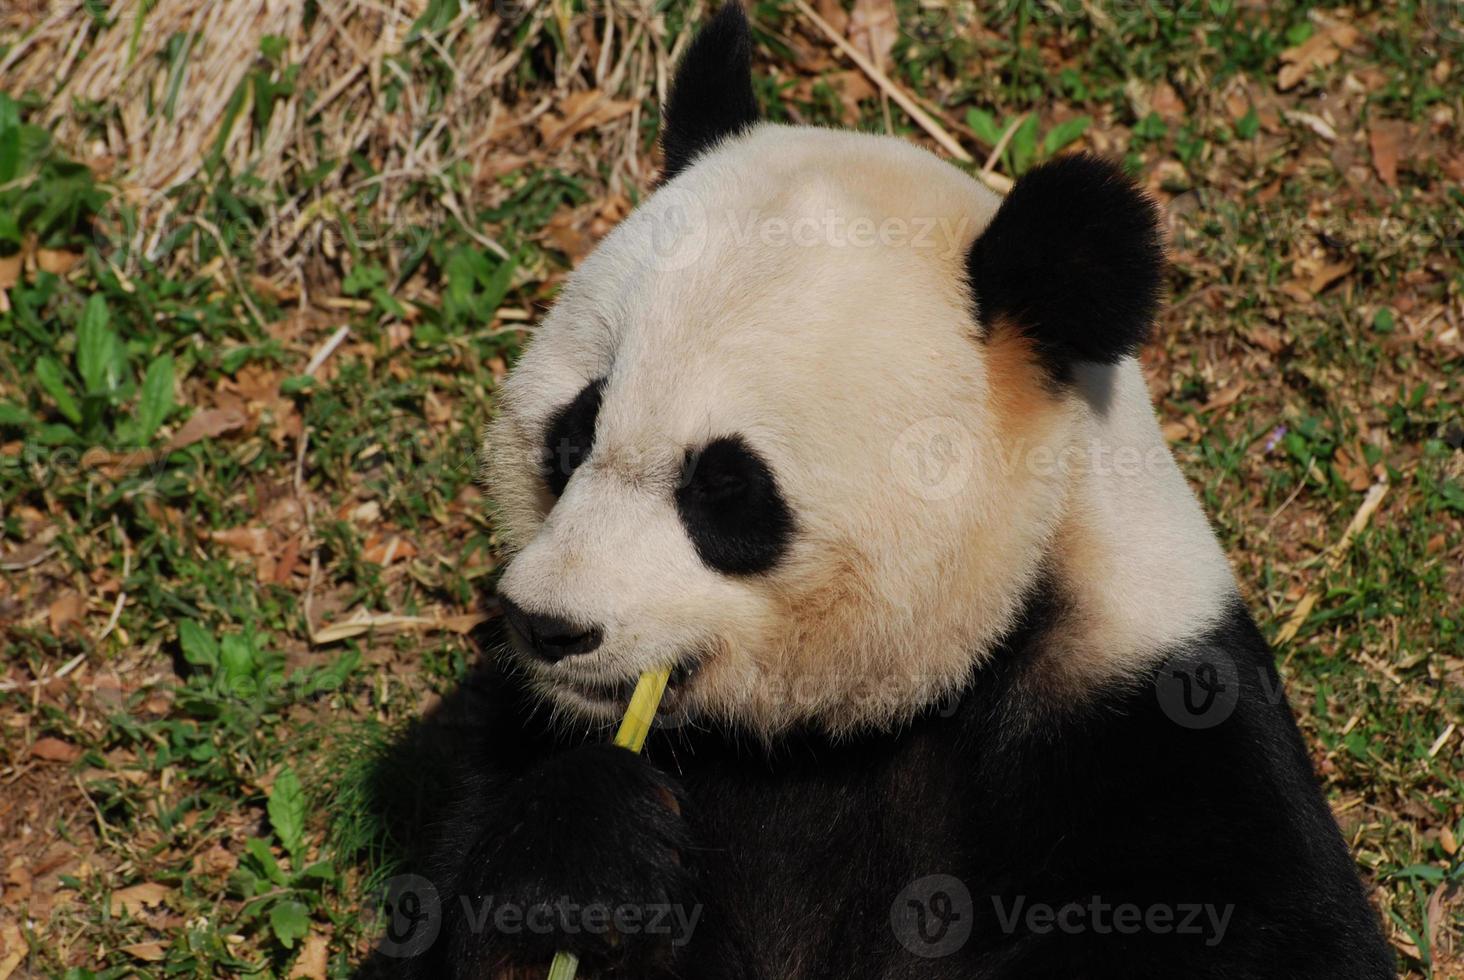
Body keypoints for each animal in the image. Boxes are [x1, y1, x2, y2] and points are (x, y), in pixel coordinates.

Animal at [398, 7, 1393, 978]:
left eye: (727, 492)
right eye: (573, 436)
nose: (550, 626)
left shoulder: (1150, 704)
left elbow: (1263, 932)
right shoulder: (512, 737)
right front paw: (592, 852)